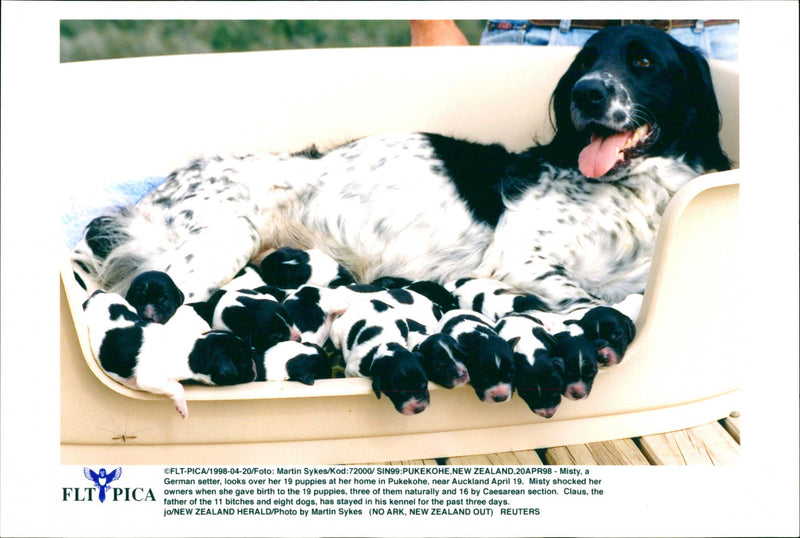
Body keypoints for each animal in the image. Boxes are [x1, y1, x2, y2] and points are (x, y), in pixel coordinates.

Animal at [72, 24, 728, 364]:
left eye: (643, 62)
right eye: (587, 59)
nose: (586, 93)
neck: (631, 192)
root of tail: (153, 194)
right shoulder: (519, 258)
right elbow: (586, 297)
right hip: (219, 241)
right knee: (143, 294)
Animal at [81, 288, 256, 418]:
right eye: (245, 361)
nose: (255, 366)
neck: (195, 349)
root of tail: (97, 294)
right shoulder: (149, 379)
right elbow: (177, 386)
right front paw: (183, 409)